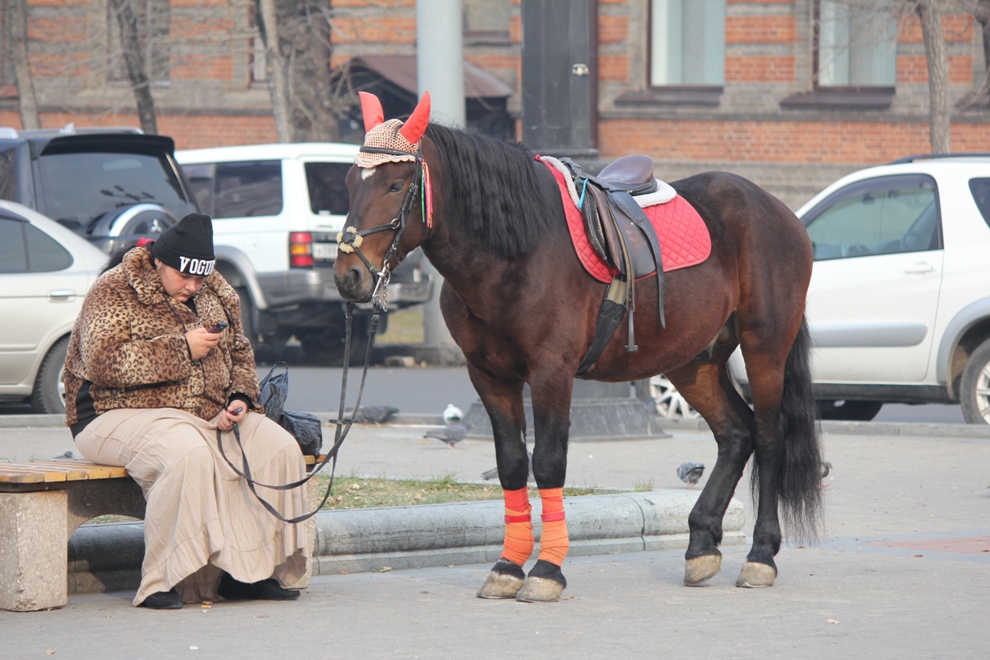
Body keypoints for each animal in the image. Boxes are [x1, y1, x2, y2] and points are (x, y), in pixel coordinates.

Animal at [338, 93, 824, 604]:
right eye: (350, 182)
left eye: (395, 184)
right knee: (735, 434)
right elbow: (512, 464)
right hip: (693, 359)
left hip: (765, 345)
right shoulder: (489, 376)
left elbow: (549, 463)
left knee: (768, 437)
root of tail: (777, 209)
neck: (515, 252)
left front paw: (547, 569)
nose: (348, 275)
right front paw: (508, 566)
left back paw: (761, 555)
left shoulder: (551, 372)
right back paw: (701, 544)